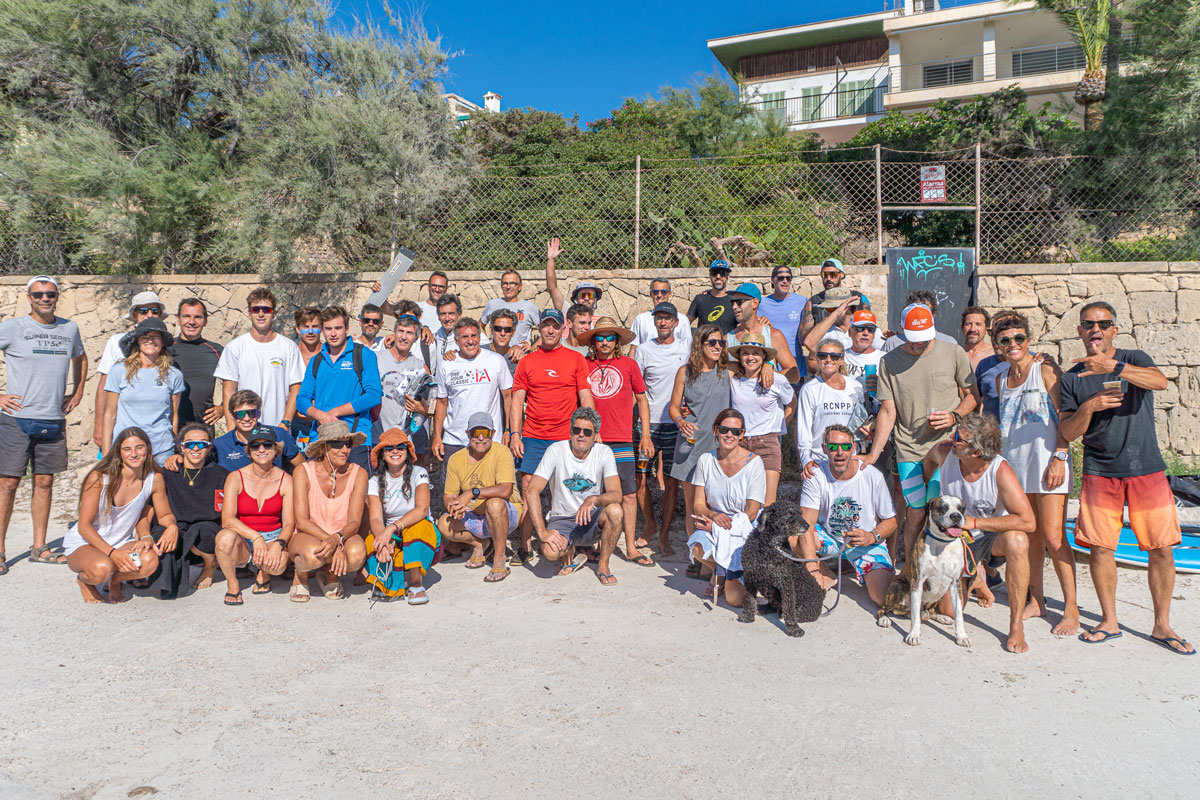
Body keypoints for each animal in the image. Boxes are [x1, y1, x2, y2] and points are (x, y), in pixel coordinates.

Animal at [878, 494, 969, 652]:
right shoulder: (917, 582)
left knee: (929, 611)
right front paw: (913, 635)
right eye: (943, 507)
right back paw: (884, 619)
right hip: (898, 587)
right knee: (884, 609)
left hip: (941, 592)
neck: (943, 543)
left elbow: (959, 614)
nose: (956, 516)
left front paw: (962, 636)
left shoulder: (955, 584)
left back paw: (941, 617)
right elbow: (915, 616)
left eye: (960, 508)